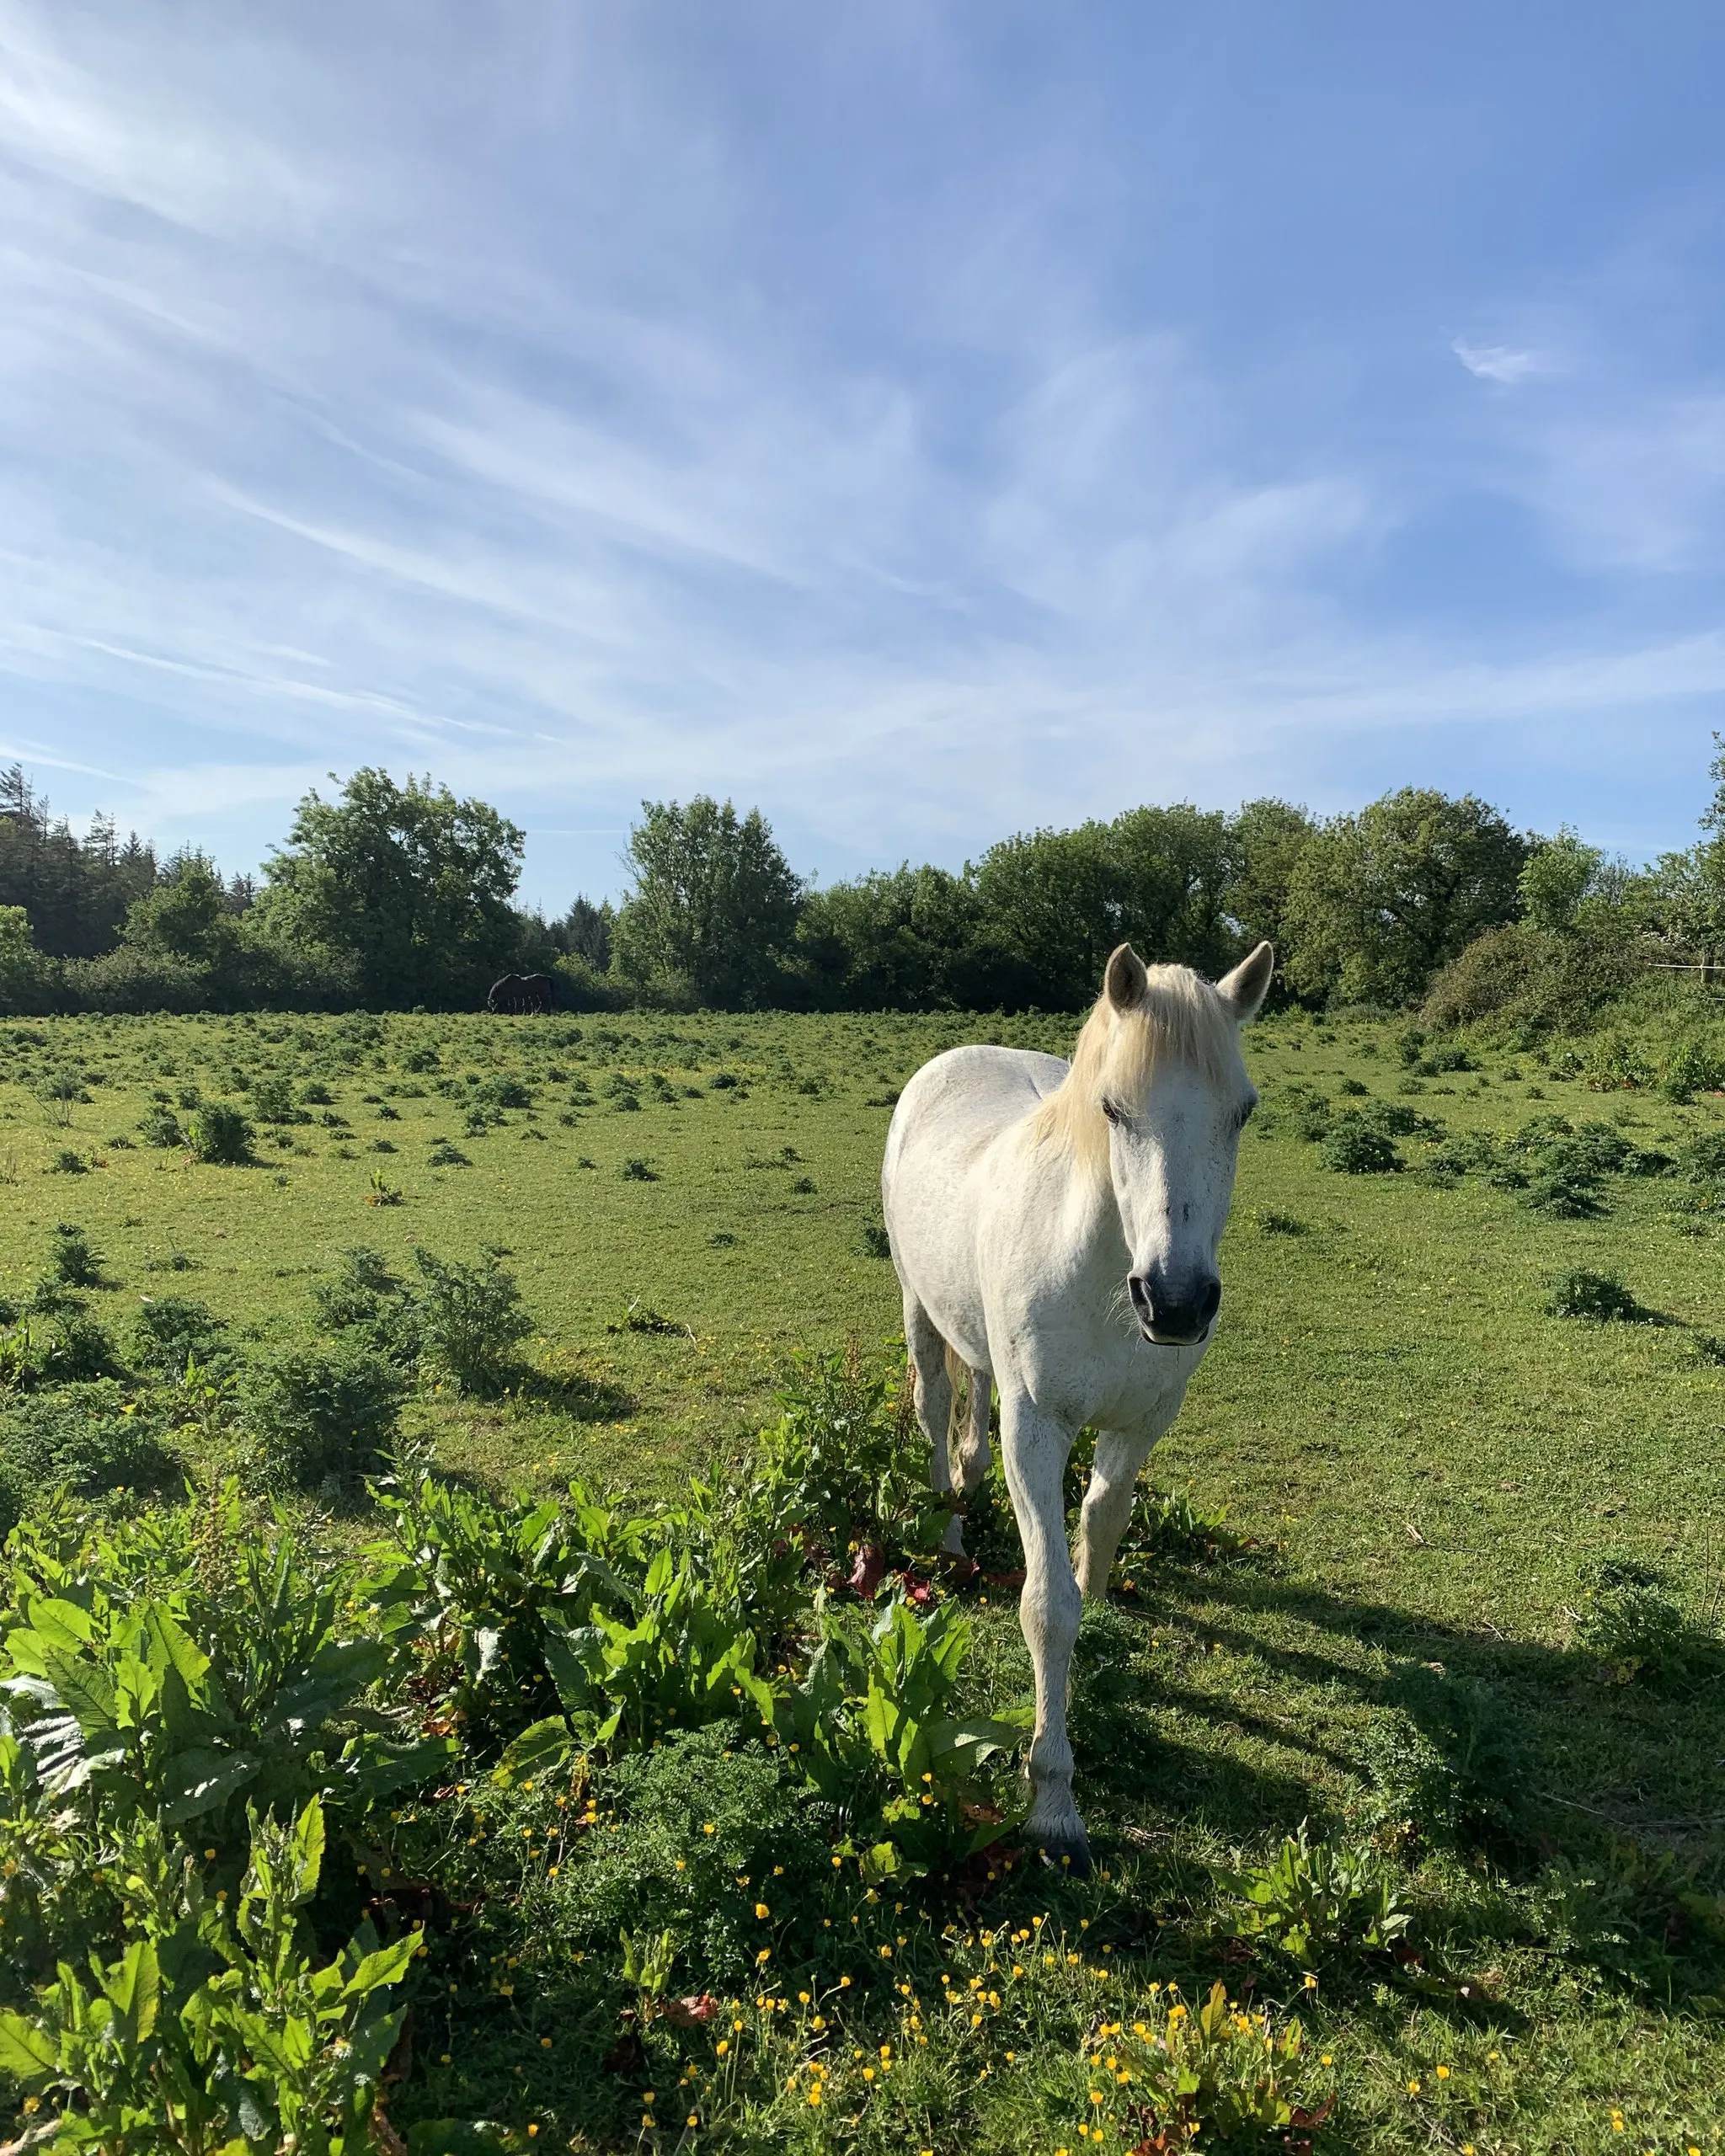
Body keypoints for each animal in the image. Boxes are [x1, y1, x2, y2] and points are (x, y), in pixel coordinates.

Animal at [881, 937, 1273, 1872]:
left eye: (1241, 1112)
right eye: (1113, 1109)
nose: (1175, 1301)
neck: (1099, 1273)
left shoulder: (1141, 1422)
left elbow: (1101, 1521)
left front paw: (1101, 1617)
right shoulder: (1037, 1432)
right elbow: (1046, 1607)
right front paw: (1052, 1802)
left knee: (971, 1408)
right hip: (917, 1309)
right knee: (935, 1411)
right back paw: (948, 1530)